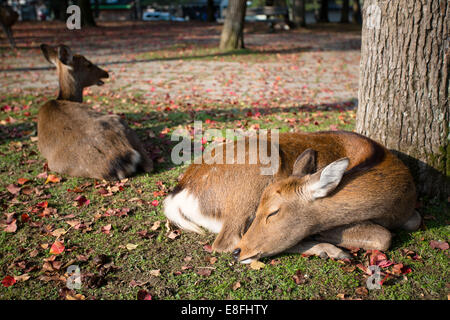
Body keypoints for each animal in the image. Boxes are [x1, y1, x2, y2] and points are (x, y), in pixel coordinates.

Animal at [163, 130, 420, 262]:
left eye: (273, 212)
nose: (239, 253)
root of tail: (180, 192)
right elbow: (384, 236)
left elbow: (414, 221)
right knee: (227, 241)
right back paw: (331, 250)